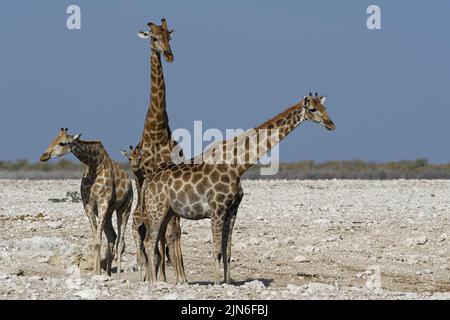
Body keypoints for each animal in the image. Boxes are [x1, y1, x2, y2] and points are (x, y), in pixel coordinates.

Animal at [40, 127, 133, 278]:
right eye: (53, 139)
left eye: (62, 143)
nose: (44, 156)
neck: (94, 164)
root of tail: (130, 182)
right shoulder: (88, 205)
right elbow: (96, 239)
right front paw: (97, 272)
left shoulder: (102, 202)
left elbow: (98, 240)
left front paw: (97, 273)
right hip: (109, 211)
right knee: (112, 237)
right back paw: (108, 274)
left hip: (125, 207)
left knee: (121, 242)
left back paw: (118, 277)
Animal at [142, 92, 336, 282]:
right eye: (312, 109)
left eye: (324, 107)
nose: (331, 124)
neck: (237, 166)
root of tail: (147, 181)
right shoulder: (217, 209)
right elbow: (217, 251)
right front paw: (217, 283)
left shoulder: (233, 210)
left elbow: (227, 252)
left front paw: (228, 282)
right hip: (156, 209)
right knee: (149, 242)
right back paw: (154, 284)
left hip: (167, 212)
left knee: (156, 241)